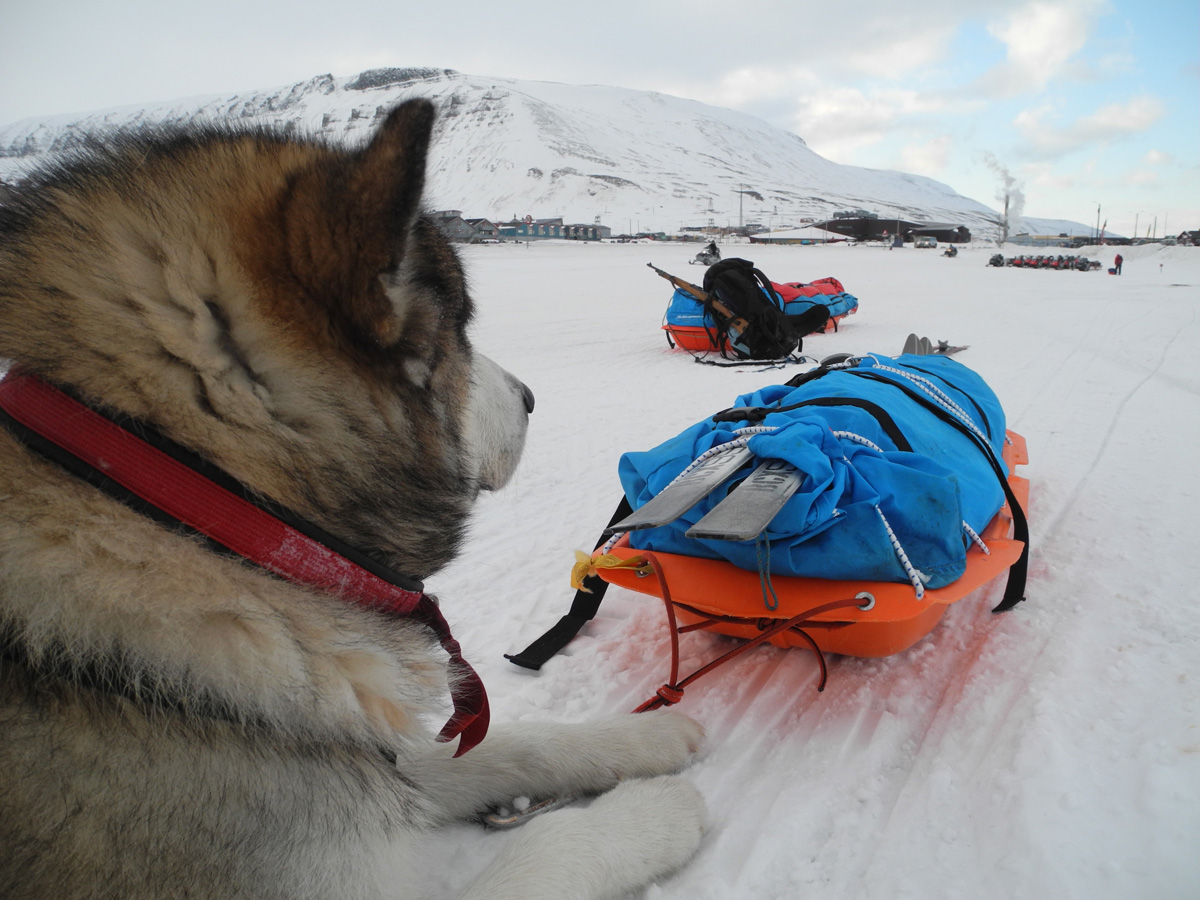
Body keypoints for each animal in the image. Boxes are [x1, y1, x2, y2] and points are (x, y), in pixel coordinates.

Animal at [0, 98, 700, 900]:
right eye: (459, 329)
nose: (531, 397)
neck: (191, 507)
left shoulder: (365, 749)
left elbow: (511, 744)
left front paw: (643, 736)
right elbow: (547, 845)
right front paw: (654, 811)